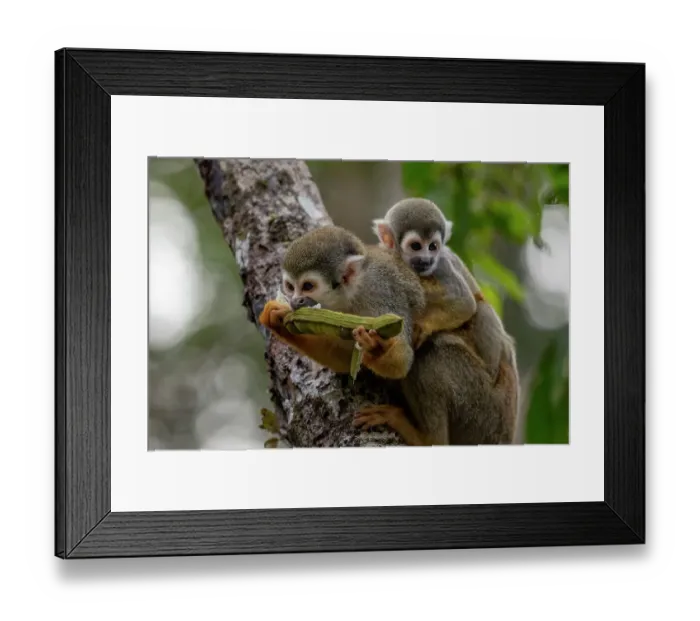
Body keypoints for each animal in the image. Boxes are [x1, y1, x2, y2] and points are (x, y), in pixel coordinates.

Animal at [258, 225, 518, 446]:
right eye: (290, 287)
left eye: (308, 287)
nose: (295, 301)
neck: (353, 292)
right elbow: (344, 360)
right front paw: (279, 321)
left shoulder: (382, 292)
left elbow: (402, 360)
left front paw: (376, 347)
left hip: (483, 412)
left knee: (431, 355)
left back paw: (427, 438)